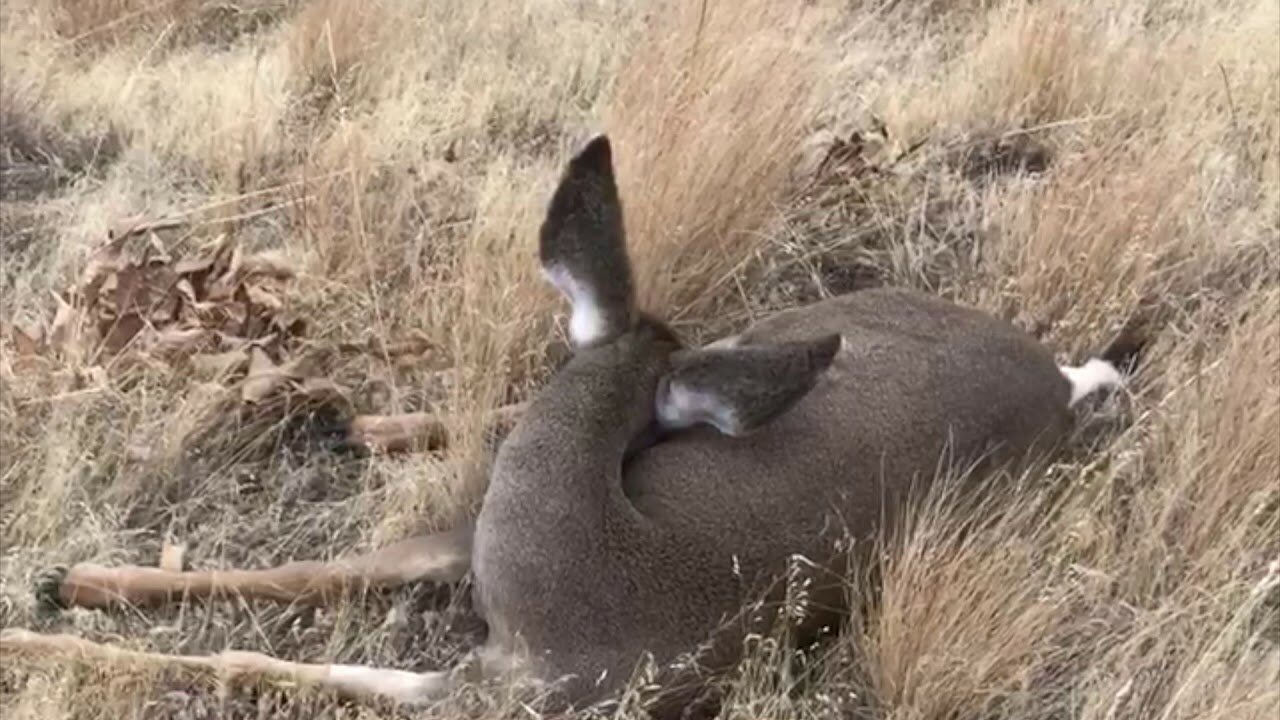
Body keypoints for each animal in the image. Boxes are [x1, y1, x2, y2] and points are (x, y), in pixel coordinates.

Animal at [0, 133, 1141, 712]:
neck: (580, 572)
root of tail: (1059, 381)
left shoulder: (481, 681)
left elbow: (250, 655)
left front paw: (39, 623)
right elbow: (305, 575)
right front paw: (77, 584)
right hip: (790, 325)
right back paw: (361, 426)